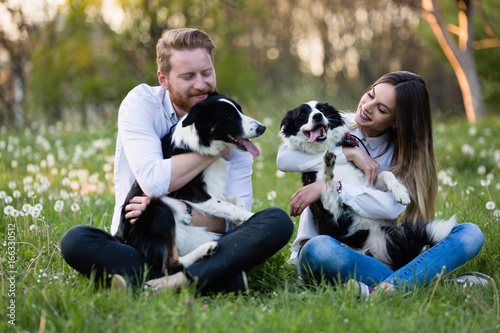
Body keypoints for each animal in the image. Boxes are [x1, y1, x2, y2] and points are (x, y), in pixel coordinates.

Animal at [116, 92, 266, 274]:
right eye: (230, 117)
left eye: (240, 111)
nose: (262, 128)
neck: (200, 143)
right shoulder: (191, 194)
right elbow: (227, 205)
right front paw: (249, 216)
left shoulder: (214, 190)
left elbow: (236, 200)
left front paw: (240, 217)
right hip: (159, 208)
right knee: (170, 266)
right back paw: (205, 250)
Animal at [280, 101, 456, 270]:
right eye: (302, 114)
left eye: (321, 109)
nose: (317, 116)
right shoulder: (329, 212)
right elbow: (327, 184)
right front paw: (328, 164)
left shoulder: (367, 180)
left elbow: (387, 174)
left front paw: (401, 193)